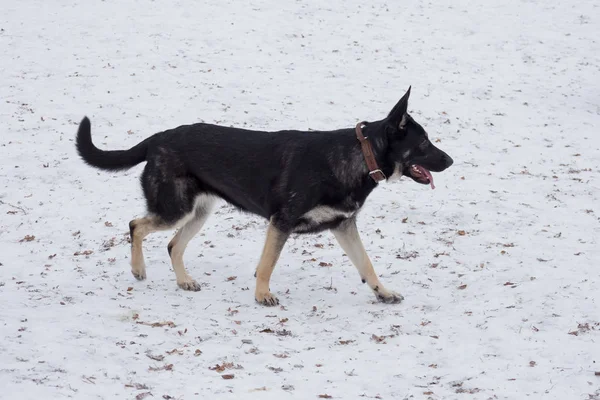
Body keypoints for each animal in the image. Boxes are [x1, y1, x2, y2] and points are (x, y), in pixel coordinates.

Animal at [75, 86, 452, 306]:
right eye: (423, 144)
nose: (450, 161)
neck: (361, 155)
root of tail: (158, 138)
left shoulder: (343, 226)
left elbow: (367, 264)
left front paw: (383, 292)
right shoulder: (281, 222)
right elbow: (268, 263)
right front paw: (262, 295)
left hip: (198, 212)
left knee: (172, 244)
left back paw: (184, 281)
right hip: (174, 208)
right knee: (136, 224)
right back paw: (138, 270)